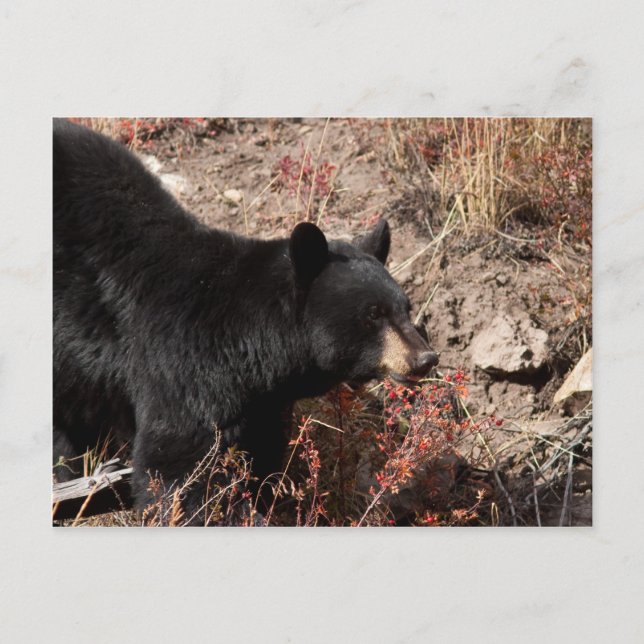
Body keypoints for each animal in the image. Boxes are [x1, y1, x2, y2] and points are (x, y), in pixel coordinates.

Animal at [53, 119, 439, 520]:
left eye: (406, 307)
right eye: (373, 314)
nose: (424, 358)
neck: (251, 346)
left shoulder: (261, 402)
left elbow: (261, 452)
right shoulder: (181, 365)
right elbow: (180, 461)